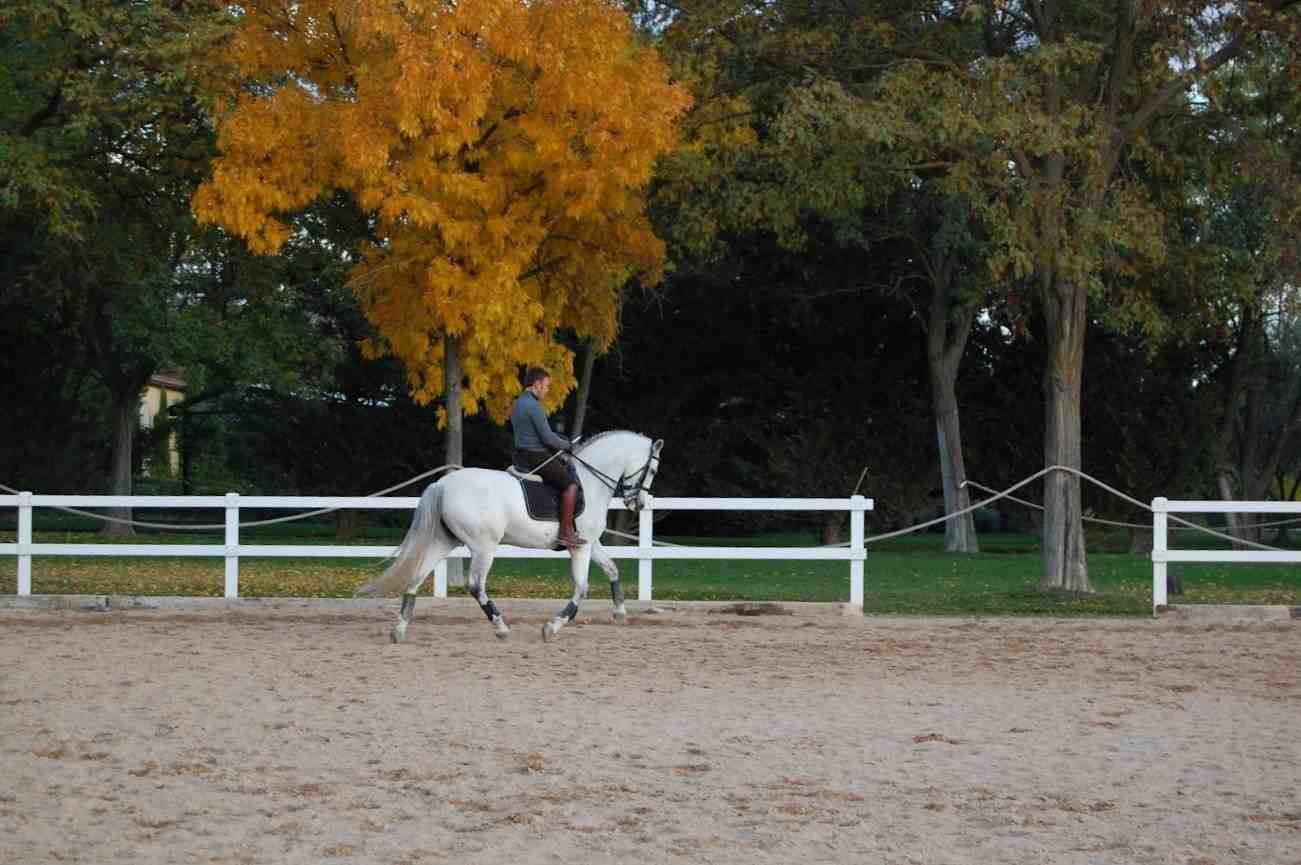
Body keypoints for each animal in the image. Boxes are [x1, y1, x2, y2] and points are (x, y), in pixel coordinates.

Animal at [355, 430, 663, 643]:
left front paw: (620, 612)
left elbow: (612, 569)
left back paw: (399, 629)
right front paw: (552, 627)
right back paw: (501, 628)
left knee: (416, 578)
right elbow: (582, 588)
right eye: (652, 469)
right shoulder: (580, 547)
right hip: (483, 547)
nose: (639, 503)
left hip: (444, 541)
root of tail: (442, 483)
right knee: (475, 585)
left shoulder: (590, 543)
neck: (591, 481)